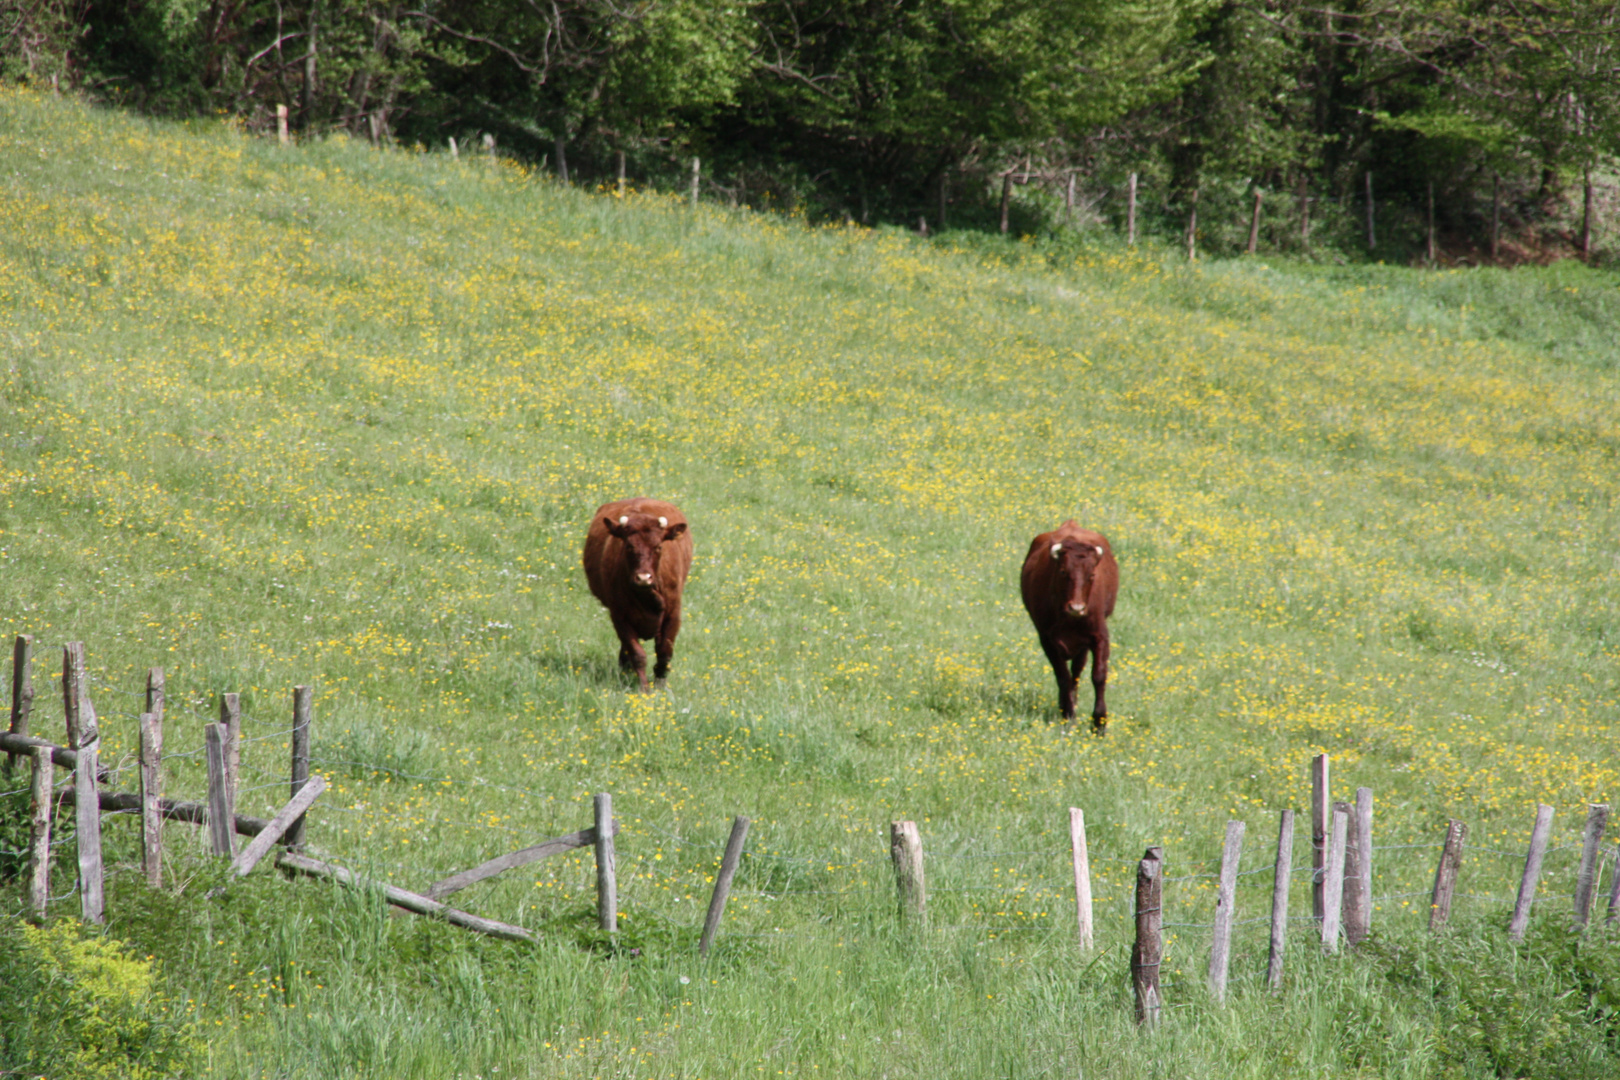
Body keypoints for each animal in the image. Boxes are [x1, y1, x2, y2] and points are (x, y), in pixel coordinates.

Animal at [579, 498, 693, 693]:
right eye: (628, 545)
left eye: (658, 546)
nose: (643, 578)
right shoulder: (619, 615)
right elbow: (637, 653)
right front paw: (644, 688)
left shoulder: (673, 614)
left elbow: (665, 652)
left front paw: (660, 685)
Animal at [1017, 524, 1121, 735]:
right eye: (1064, 572)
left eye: (1092, 575)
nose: (1077, 608)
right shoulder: (1047, 640)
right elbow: (1062, 676)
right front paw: (1068, 714)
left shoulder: (1099, 636)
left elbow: (1098, 675)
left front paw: (1099, 722)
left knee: (1078, 670)